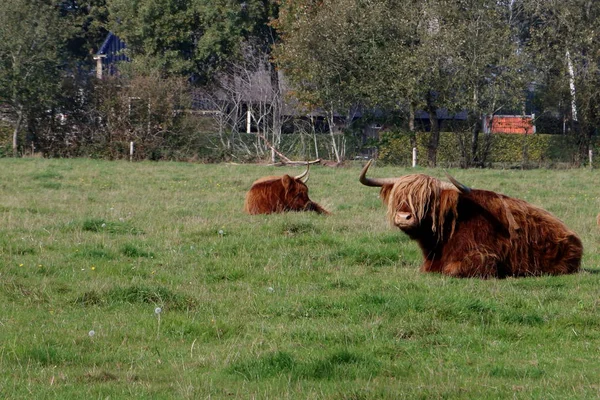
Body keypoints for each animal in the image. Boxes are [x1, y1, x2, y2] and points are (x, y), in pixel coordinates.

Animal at [358, 159, 584, 278]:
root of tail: (573, 235)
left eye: (428, 199)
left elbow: (452, 270)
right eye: (399, 197)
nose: (403, 217)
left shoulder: (484, 259)